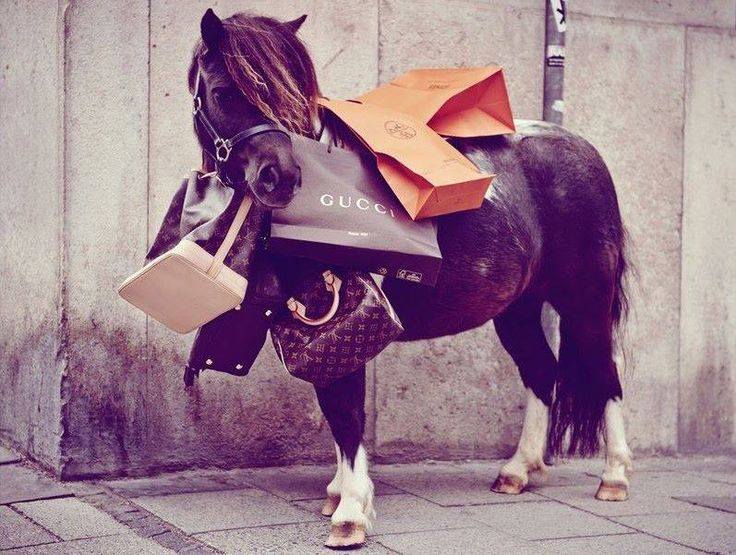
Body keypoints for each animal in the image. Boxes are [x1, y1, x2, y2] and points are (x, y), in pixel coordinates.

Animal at [188, 8, 633, 549]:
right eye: (222, 91)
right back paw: (518, 471)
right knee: (541, 372)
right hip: (518, 309)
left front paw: (351, 514)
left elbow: (346, 412)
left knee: (605, 373)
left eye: (294, 96)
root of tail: (584, 151)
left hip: (585, 298)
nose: (283, 177)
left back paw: (614, 478)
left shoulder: (344, 314)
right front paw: (339, 494)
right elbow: (334, 408)